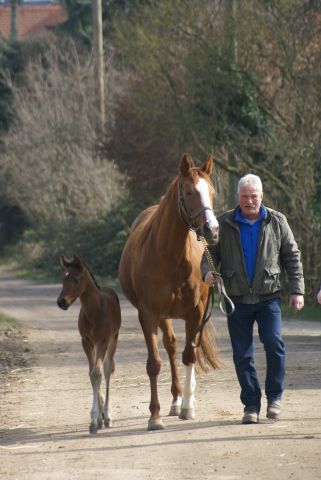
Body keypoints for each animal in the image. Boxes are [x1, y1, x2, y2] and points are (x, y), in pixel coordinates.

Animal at [57, 255, 120, 436]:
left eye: (76, 279)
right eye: (63, 279)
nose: (61, 302)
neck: (94, 311)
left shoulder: (103, 340)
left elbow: (98, 372)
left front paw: (99, 419)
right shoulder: (86, 341)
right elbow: (92, 374)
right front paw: (95, 420)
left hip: (113, 338)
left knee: (108, 368)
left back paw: (108, 416)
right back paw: (102, 415)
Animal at [119, 154, 221, 432]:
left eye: (212, 192)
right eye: (189, 192)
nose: (212, 230)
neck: (170, 255)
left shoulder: (196, 313)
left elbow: (190, 356)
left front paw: (188, 408)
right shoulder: (149, 315)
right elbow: (155, 363)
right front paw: (155, 416)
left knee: (187, 351)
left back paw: (186, 399)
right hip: (164, 317)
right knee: (172, 346)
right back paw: (175, 400)